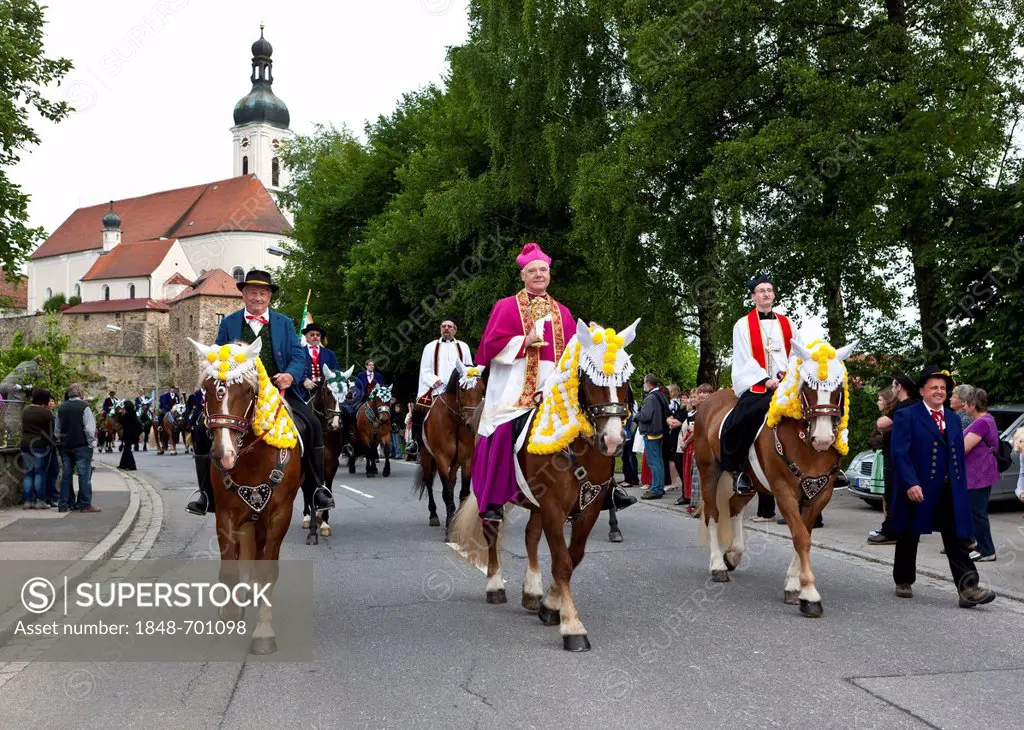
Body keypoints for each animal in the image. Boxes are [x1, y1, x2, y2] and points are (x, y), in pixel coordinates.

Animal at [188, 337, 301, 651]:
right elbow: (229, 567)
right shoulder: (226, 515)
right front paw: (230, 609)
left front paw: (263, 632)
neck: (251, 458)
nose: (223, 455)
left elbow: (267, 571)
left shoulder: (278, 516)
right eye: (207, 389)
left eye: (248, 390)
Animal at [411, 358, 483, 536]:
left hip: (454, 463)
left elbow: (463, 492)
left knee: (451, 481)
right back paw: (433, 515)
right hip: (426, 457)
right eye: (463, 389)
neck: (455, 422)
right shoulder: (441, 459)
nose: (473, 425)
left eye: (482, 389)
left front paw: (457, 521)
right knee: (429, 483)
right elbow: (446, 492)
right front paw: (450, 523)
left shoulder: (466, 460)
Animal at [450, 319, 634, 651]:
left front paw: (550, 604)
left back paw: (532, 592)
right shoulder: (553, 507)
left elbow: (573, 557)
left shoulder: (588, 507)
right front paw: (572, 626)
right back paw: (495, 585)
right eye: (591, 378)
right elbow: (562, 562)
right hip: (493, 492)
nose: (613, 440)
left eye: (625, 379)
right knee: (491, 531)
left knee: (531, 536)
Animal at [696, 337, 856, 610]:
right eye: (808, 386)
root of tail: (709, 401)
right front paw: (809, 593)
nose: (823, 439)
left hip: (751, 483)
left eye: (838, 387)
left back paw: (734, 554)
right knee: (712, 513)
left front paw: (794, 584)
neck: (806, 445)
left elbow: (804, 534)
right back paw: (718, 564)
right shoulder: (784, 491)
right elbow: (801, 537)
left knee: (734, 505)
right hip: (709, 471)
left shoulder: (818, 495)